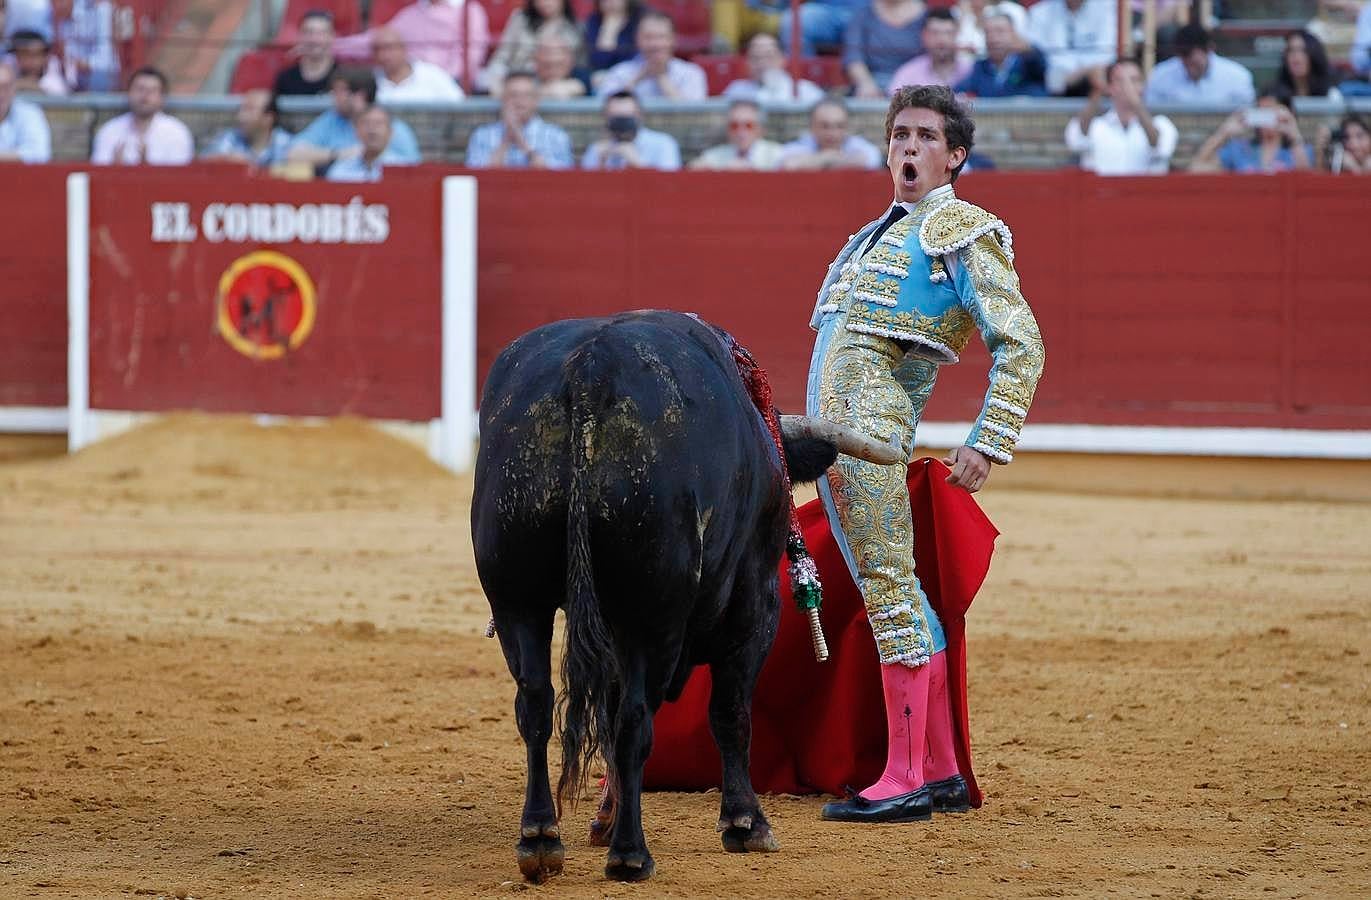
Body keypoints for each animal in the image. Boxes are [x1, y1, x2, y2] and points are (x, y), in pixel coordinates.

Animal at [474, 310, 888, 878]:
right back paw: (631, 854)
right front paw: (745, 823)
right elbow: (730, 712)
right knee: (634, 720)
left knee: (536, 704)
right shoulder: (755, 605)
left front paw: (604, 821)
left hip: (518, 599)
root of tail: (590, 369)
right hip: (652, 614)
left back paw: (541, 840)